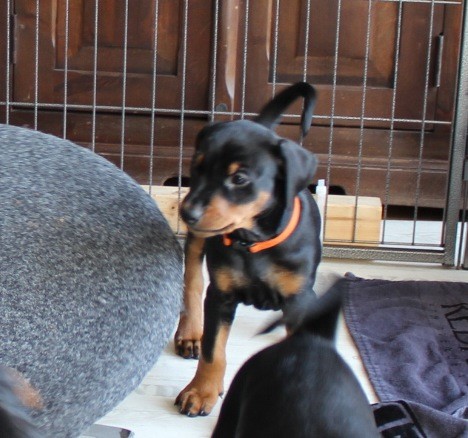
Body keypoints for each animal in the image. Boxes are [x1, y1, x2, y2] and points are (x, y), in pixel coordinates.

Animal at [175, 82, 322, 416]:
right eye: (196, 168)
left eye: (239, 178)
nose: (187, 213)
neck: (253, 242)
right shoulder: (221, 296)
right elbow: (213, 350)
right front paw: (201, 392)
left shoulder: (299, 298)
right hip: (198, 244)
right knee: (192, 281)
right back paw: (190, 333)